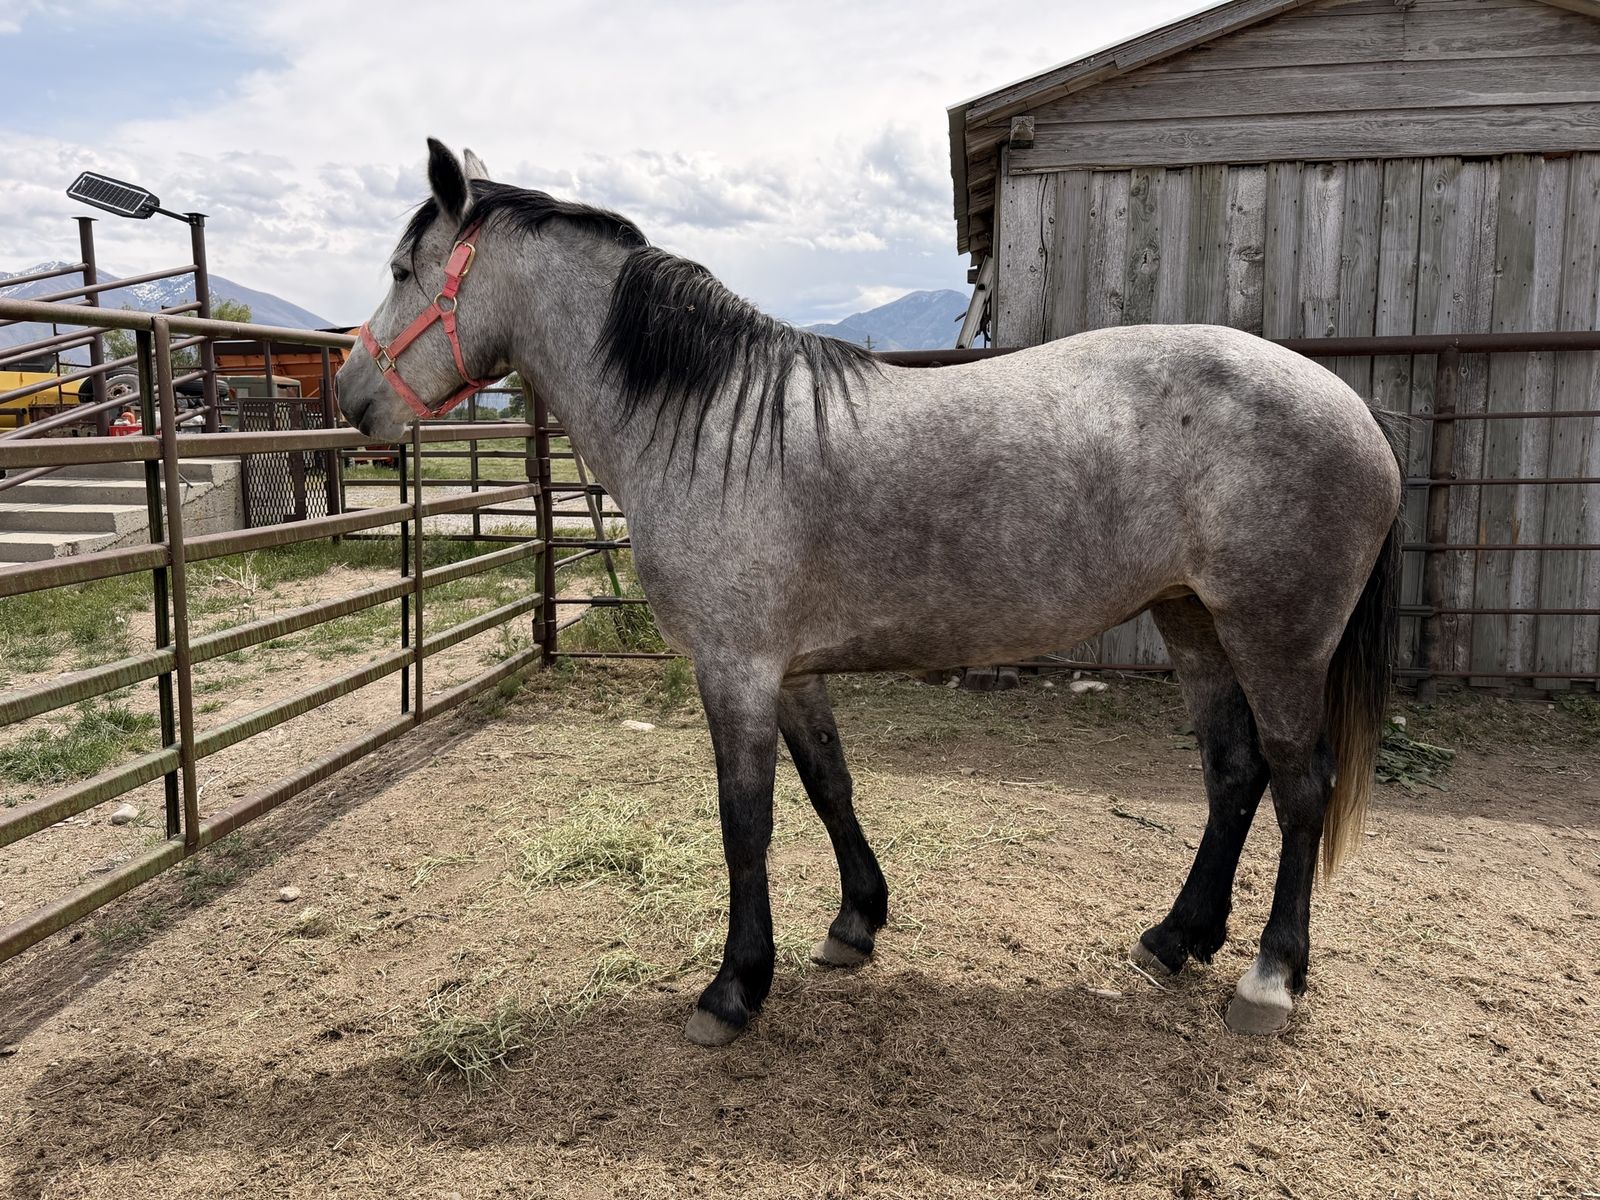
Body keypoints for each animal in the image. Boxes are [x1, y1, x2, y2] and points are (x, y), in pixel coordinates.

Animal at [336, 140, 1403, 1045]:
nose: (349, 398)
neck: (713, 425)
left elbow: (746, 821)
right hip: (1194, 622)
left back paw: (1269, 976)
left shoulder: (735, 670)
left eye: (399, 273)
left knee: (1299, 786)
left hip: (1275, 638)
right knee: (1233, 775)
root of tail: (1355, 410)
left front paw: (734, 988)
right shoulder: (788, 670)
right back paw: (1175, 939)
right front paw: (856, 922)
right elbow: (829, 785)